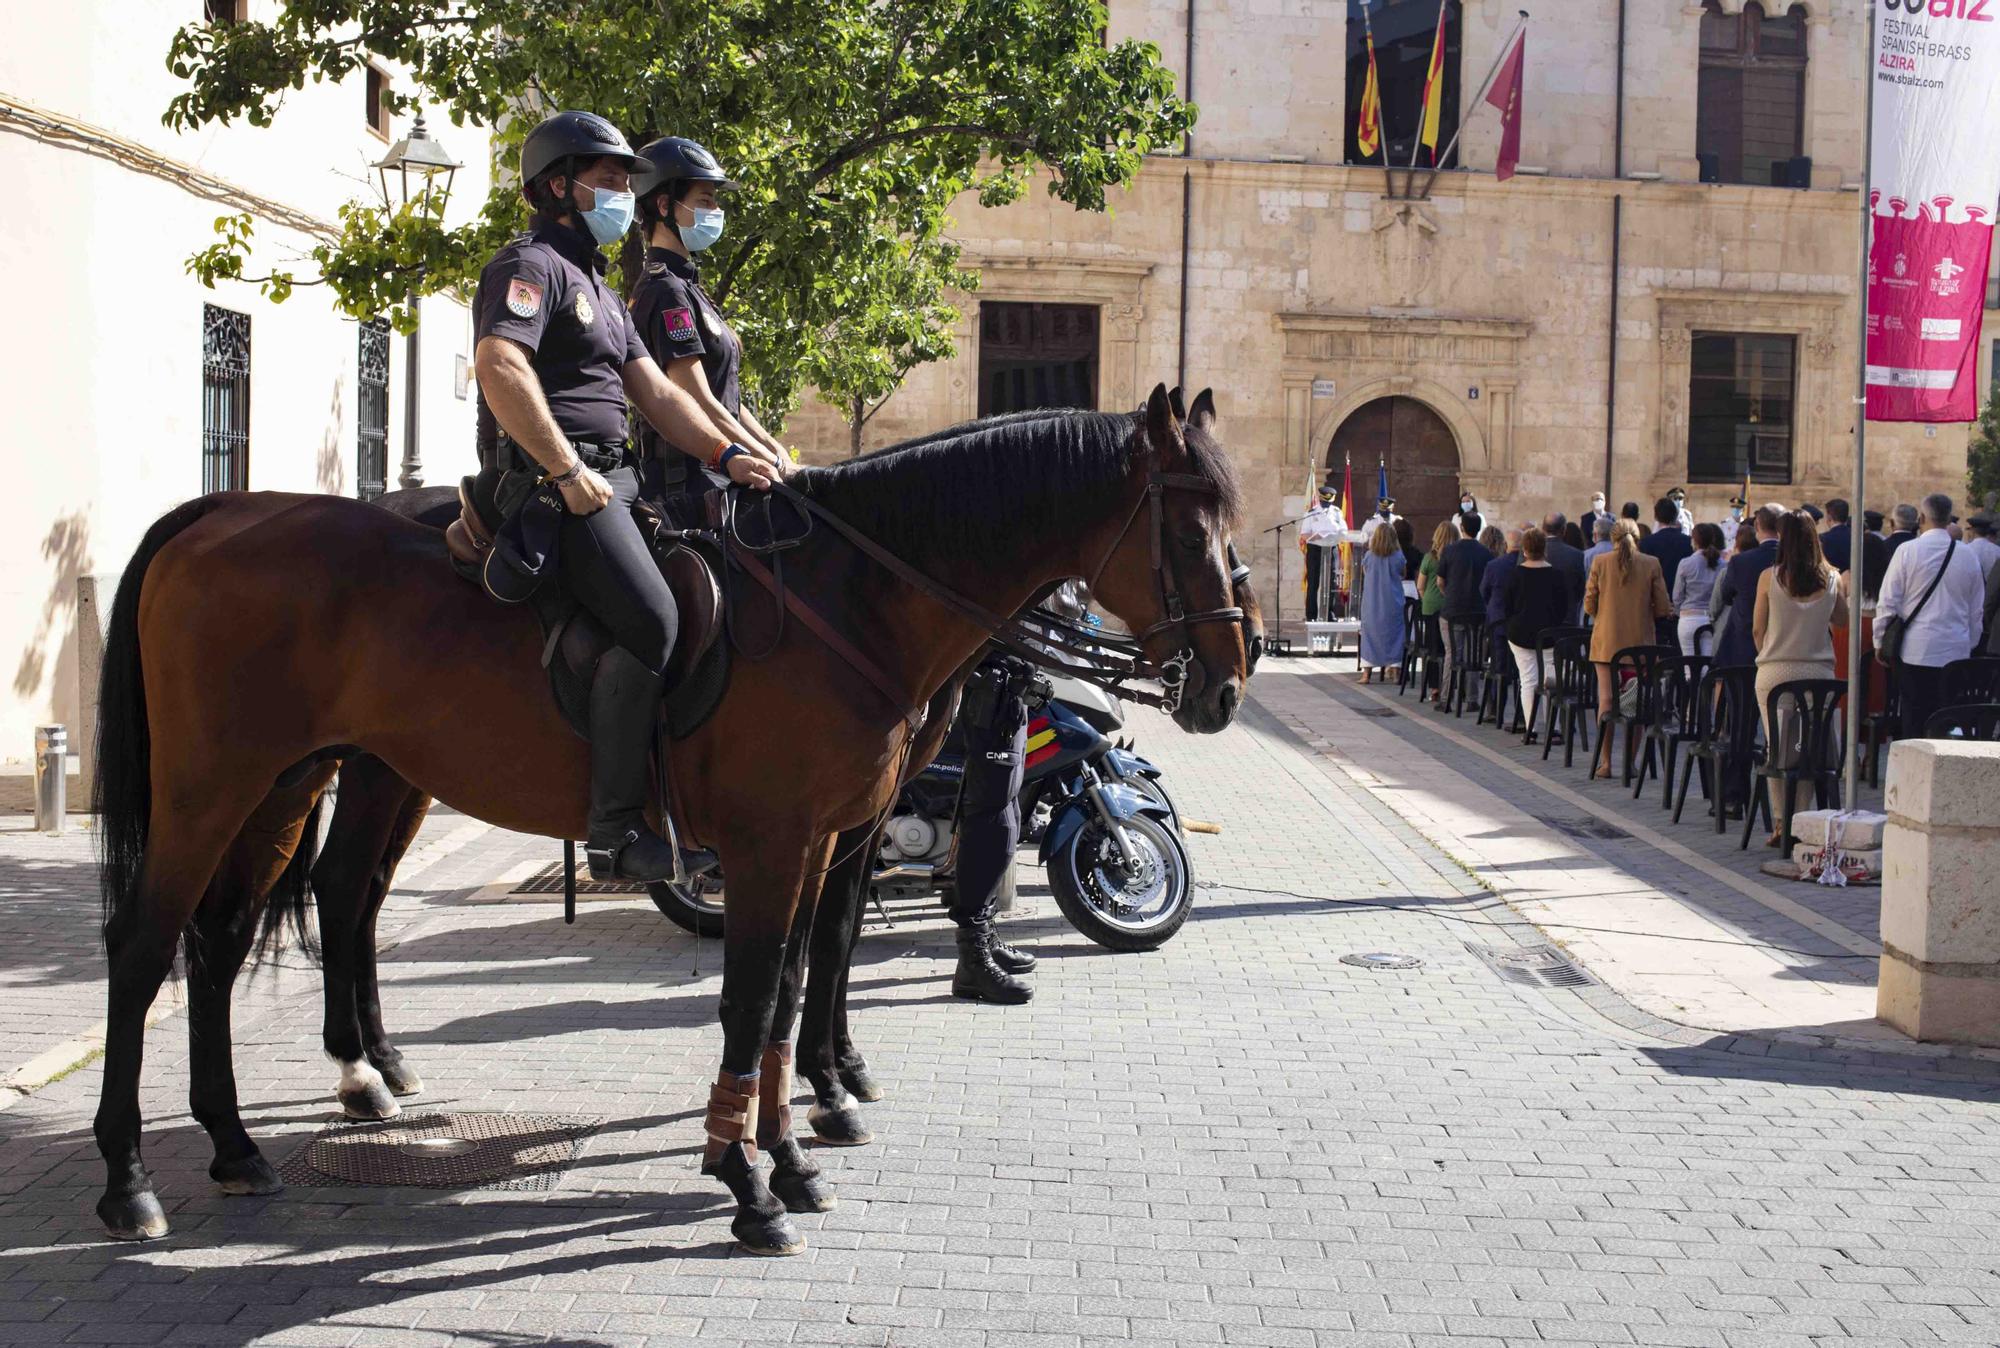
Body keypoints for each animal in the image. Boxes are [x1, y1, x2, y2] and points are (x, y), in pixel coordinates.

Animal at [97, 386, 1248, 1248]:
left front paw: (799, 1134)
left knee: (243, 931)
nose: (1229, 679)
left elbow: (799, 981)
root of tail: (220, 511)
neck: (849, 598)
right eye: (1192, 528)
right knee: (150, 941)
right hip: (217, 783)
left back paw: (254, 1132)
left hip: (303, 779)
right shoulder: (776, 844)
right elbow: (756, 998)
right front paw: (749, 1173)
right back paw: (133, 1177)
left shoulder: (830, 837)